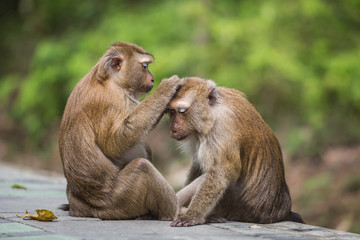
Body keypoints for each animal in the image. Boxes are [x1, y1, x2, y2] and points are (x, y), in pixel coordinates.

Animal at [59, 41, 183, 219]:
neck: (109, 80)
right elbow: (114, 143)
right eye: (145, 66)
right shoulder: (109, 101)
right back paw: (176, 213)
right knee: (142, 168)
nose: (152, 79)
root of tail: (81, 207)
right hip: (119, 200)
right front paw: (166, 89)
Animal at [167, 77, 304, 227]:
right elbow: (199, 165)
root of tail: (282, 211)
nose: (172, 128)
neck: (213, 111)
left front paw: (191, 215)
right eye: (171, 112)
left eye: (181, 111)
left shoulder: (221, 128)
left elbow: (220, 174)